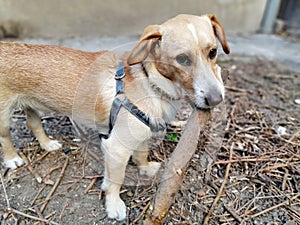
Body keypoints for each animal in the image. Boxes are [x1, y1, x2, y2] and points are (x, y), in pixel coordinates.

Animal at [0, 13, 230, 220]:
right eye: (182, 59)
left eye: (213, 52)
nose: (216, 99)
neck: (151, 81)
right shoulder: (116, 148)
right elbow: (115, 181)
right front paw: (113, 206)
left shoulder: (141, 135)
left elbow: (141, 154)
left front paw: (145, 168)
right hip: (4, 117)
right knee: (5, 138)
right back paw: (12, 159)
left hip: (32, 105)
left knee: (33, 123)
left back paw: (47, 144)